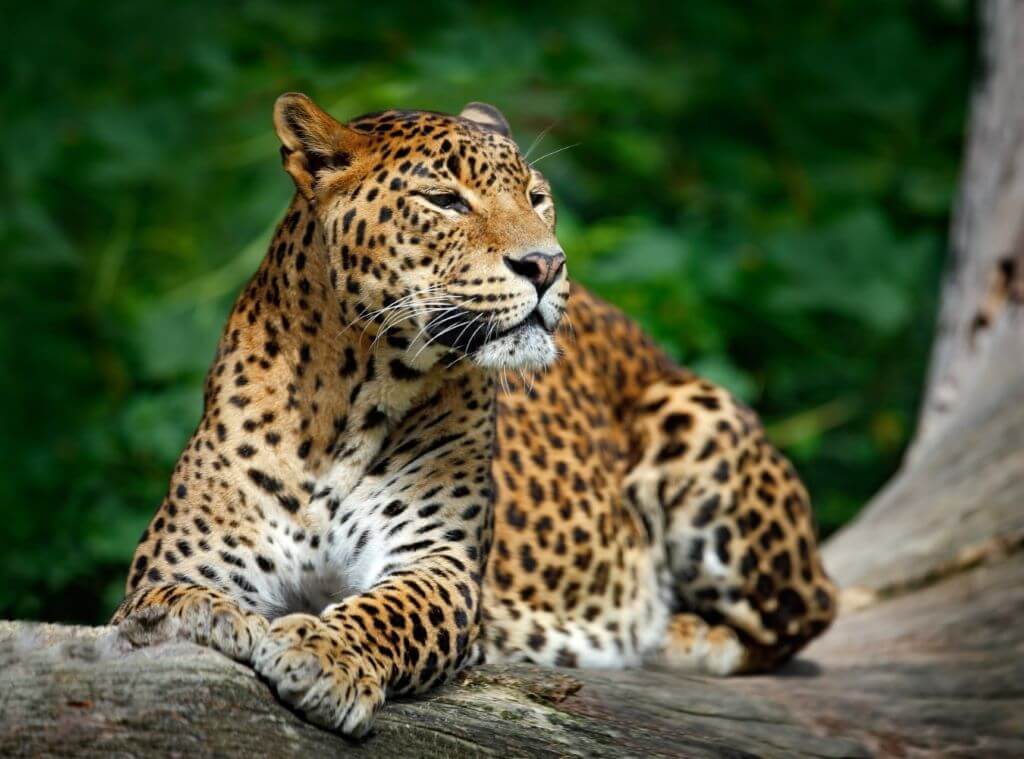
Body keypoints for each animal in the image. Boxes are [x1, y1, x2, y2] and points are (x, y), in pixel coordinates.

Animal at [112, 91, 835, 737]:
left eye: (537, 197)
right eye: (444, 200)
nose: (547, 264)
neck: (349, 399)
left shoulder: (439, 562)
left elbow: (389, 611)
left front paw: (323, 655)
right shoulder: (180, 560)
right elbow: (167, 600)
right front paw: (211, 619)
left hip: (697, 415)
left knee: (806, 614)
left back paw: (674, 632)